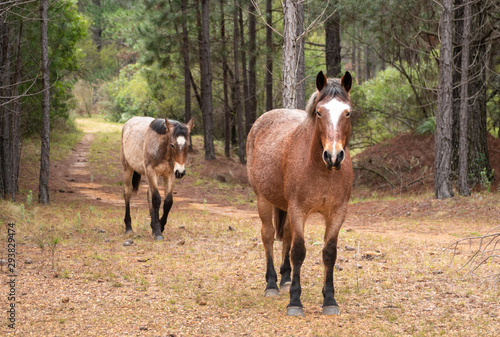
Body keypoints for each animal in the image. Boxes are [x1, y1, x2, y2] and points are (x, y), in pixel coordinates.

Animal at [248, 71, 354, 316]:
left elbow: (329, 253)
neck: (321, 170)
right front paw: (295, 301)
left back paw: (285, 278)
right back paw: (272, 283)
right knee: (268, 235)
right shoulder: (298, 210)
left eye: (348, 112)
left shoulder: (337, 212)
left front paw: (330, 299)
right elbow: (299, 251)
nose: (333, 156)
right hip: (263, 199)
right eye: (319, 112)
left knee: (286, 235)